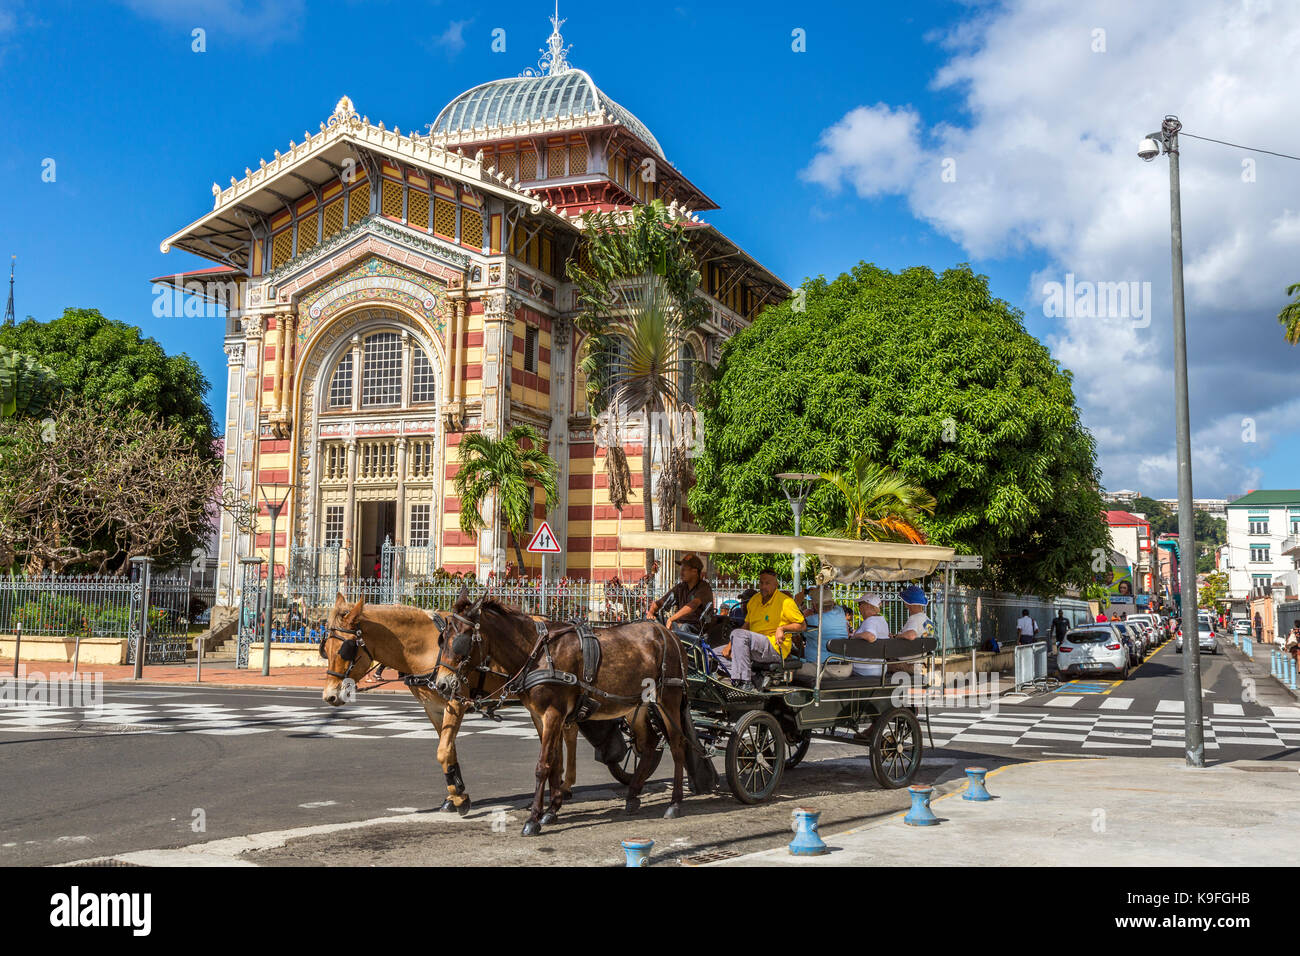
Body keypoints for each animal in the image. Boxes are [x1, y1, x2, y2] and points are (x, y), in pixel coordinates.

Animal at [317, 598, 577, 816]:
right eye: (325, 649)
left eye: (345, 649)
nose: (330, 696)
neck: (427, 648)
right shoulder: (433, 708)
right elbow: (448, 750)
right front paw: (456, 794)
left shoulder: (455, 701)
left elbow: (442, 750)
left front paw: (460, 798)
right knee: (565, 732)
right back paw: (562, 785)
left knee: (568, 733)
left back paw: (564, 786)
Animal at [434, 598, 717, 837]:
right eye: (442, 639)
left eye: (461, 640)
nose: (442, 685)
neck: (537, 653)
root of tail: (669, 634)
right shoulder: (541, 716)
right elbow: (555, 763)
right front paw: (551, 810)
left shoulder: (553, 714)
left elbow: (543, 766)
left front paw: (534, 819)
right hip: (635, 707)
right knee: (648, 745)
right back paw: (633, 795)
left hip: (668, 698)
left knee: (677, 746)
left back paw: (675, 803)